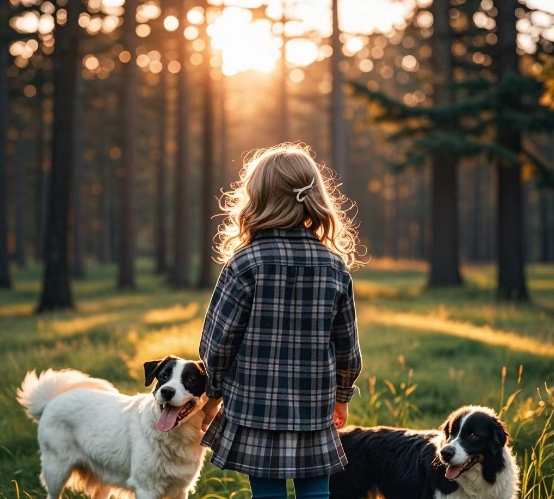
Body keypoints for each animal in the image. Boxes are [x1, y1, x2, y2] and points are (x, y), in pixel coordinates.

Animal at [18, 356, 207, 499]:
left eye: (189, 380)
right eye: (164, 376)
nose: (166, 391)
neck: (173, 436)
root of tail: (51, 400)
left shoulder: (180, 489)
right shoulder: (146, 489)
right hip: (56, 470)